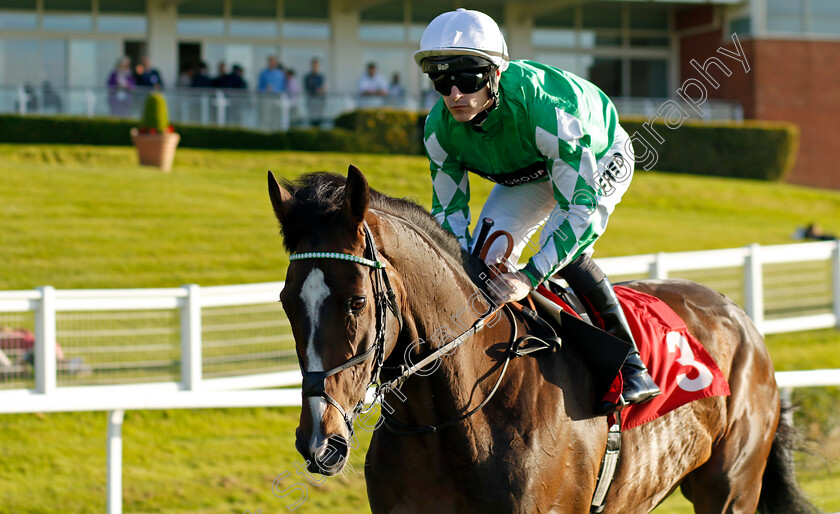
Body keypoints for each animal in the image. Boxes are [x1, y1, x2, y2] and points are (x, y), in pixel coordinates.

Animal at [268, 166, 812, 510]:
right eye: (286, 301)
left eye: (357, 301)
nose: (320, 442)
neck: (457, 419)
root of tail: (740, 316)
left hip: (731, 488)